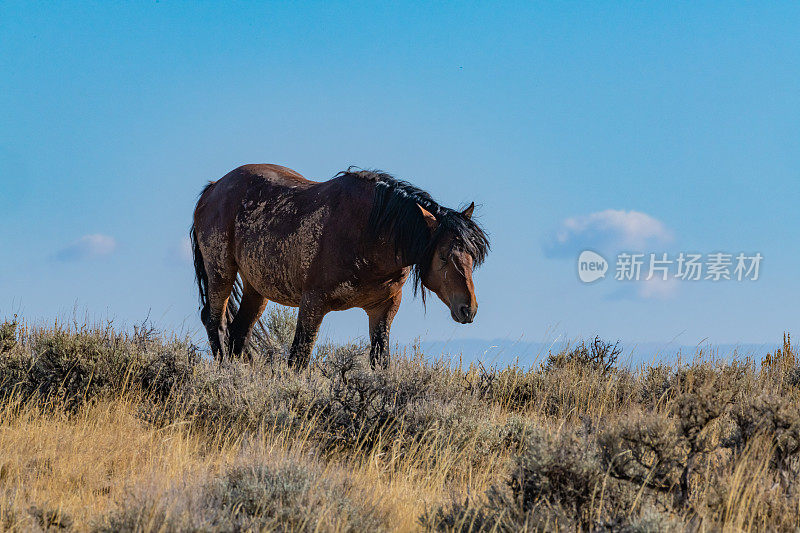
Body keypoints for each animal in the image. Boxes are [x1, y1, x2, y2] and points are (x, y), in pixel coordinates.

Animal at [189, 164, 488, 368]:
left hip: (257, 288)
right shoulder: (312, 303)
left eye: (473, 257)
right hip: (221, 272)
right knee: (215, 321)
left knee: (239, 332)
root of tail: (213, 188)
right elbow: (298, 358)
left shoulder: (383, 308)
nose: (468, 309)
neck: (369, 233)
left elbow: (380, 361)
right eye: (443, 256)